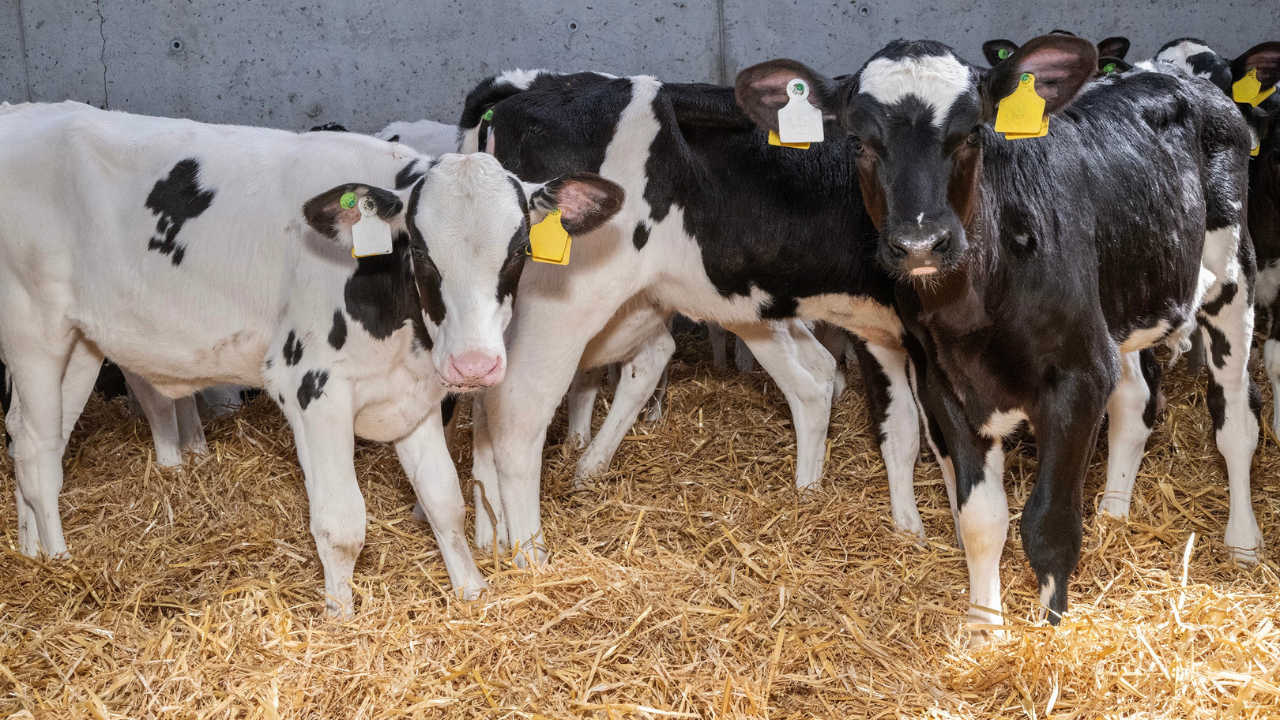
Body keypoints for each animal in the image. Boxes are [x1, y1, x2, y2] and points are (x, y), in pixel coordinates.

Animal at [0, 101, 623, 616]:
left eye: (519, 251)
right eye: (421, 252)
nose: (475, 366)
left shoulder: (413, 395)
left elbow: (444, 502)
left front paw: (471, 589)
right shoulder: (313, 389)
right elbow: (342, 523)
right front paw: (341, 617)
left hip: (81, 342)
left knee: (34, 437)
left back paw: (31, 551)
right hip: (32, 328)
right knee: (33, 449)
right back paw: (59, 561)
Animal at [456, 69, 926, 566]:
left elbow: (903, 427)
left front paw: (909, 529)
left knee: (808, 377)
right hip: (558, 304)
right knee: (516, 411)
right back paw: (529, 554)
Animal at [735, 34, 1262, 640]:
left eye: (971, 133)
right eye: (858, 142)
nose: (920, 244)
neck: (973, 311)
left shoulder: (1079, 377)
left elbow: (1049, 522)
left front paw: (1050, 630)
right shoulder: (946, 385)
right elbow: (981, 520)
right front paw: (985, 627)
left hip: (1232, 275)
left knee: (1237, 417)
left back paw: (1243, 543)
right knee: (1135, 400)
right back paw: (1114, 513)